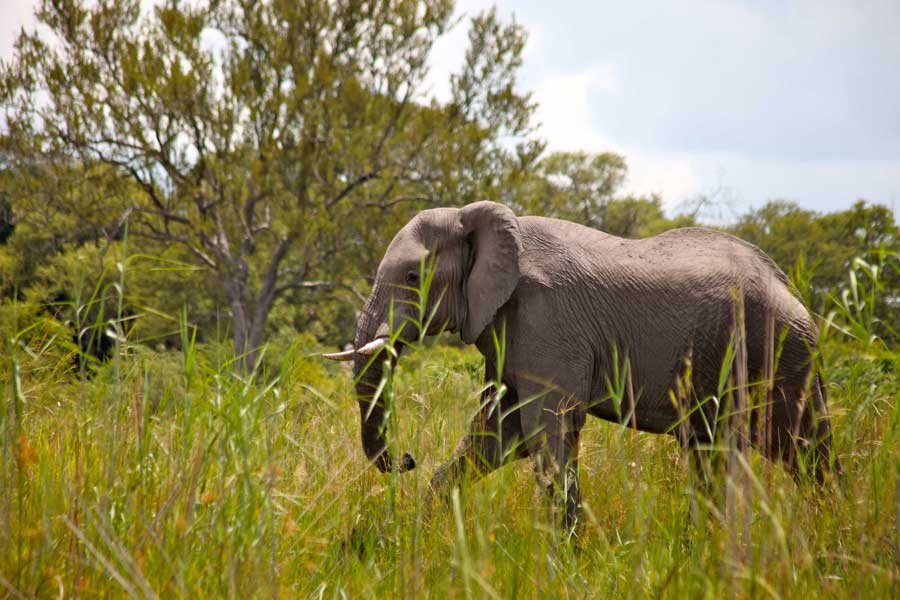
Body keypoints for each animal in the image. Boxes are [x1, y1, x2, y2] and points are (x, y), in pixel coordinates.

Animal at [324, 201, 842, 529]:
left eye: (414, 277)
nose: (406, 459)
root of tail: (791, 287)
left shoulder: (547, 323)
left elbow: (545, 430)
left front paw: (562, 564)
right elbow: (498, 433)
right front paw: (420, 534)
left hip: (782, 350)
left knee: (803, 448)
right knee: (713, 450)